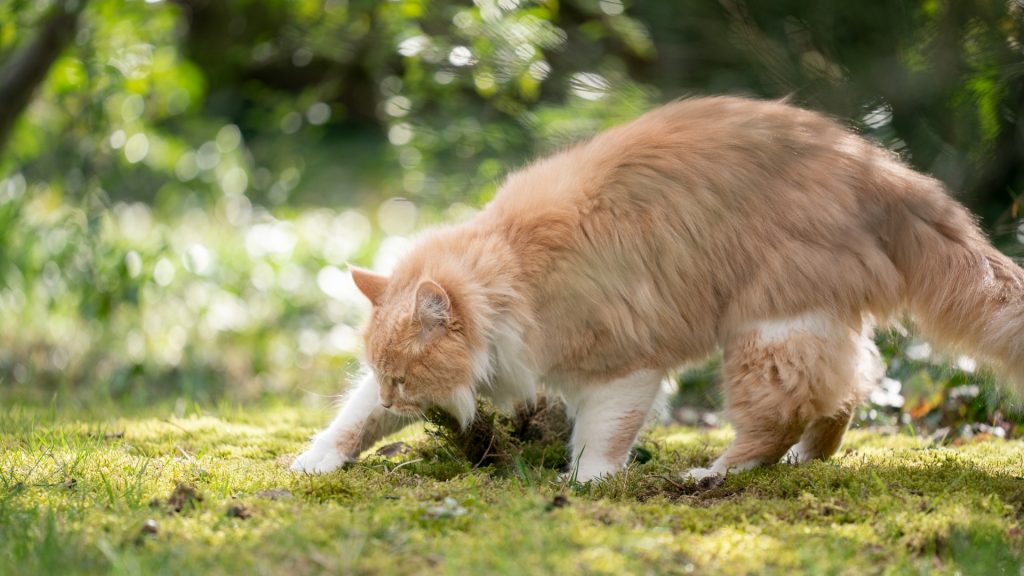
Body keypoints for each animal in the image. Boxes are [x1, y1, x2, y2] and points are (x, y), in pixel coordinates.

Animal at [288, 96, 1024, 481]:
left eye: (404, 379)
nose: (394, 394)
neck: (511, 274)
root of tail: (880, 167)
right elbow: (352, 421)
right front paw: (316, 461)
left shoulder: (625, 367)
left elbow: (599, 440)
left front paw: (585, 486)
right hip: (810, 326)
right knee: (846, 393)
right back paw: (803, 463)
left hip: (765, 333)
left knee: (782, 413)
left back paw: (719, 473)